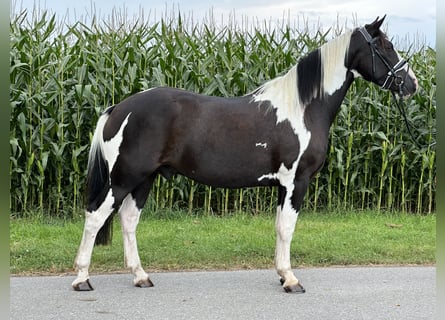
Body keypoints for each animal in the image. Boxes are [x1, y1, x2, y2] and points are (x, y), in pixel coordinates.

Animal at [72, 15, 416, 292]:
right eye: (386, 46)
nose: (411, 84)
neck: (303, 108)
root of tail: (119, 109)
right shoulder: (296, 181)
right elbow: (287, 227)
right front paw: (291, 280)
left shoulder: (282, 186)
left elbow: (279, 227)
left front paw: (282, 274)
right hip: (124, 178)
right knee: (94, 216)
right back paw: (82, 279)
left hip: (144, 179)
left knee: (129, 220)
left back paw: (141, 276)